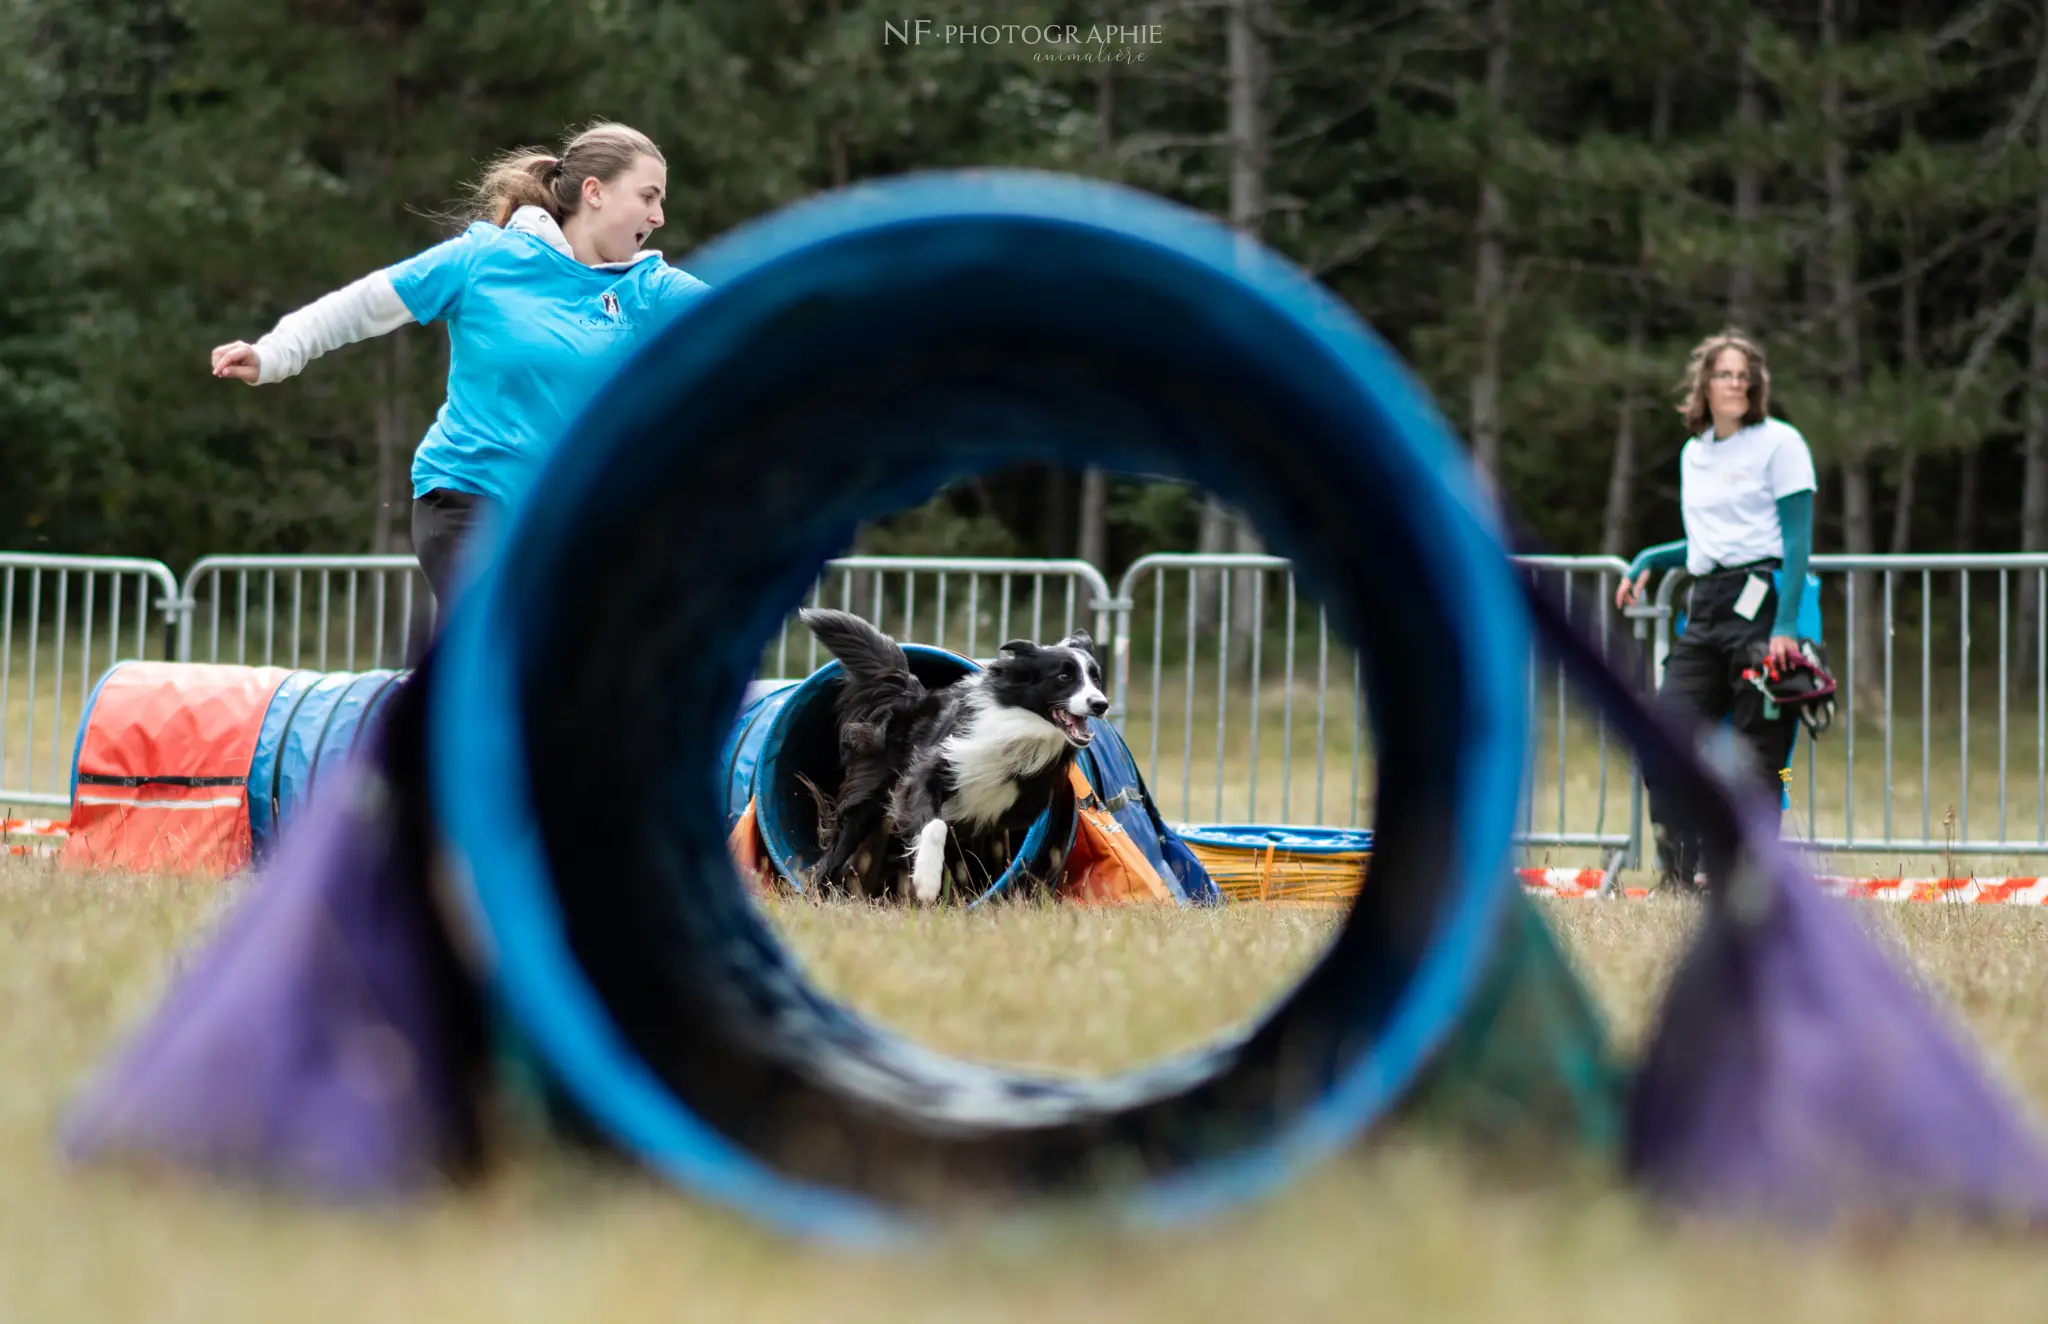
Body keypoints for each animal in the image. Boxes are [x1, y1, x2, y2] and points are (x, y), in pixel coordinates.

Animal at [794, 610, 1114, 901]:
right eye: (1064, 676)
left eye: (1096, 679)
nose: (1101, 705)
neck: (1023, 729)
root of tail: (914, 696)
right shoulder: (926, 776)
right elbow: (934, 824)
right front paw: (926, 881)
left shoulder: (1011, 811)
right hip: (869, 800)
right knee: (839, 848)